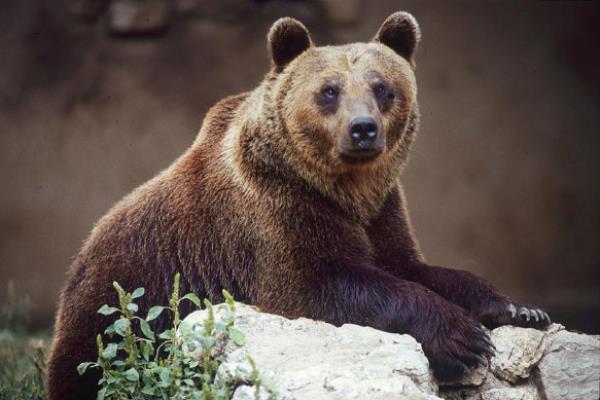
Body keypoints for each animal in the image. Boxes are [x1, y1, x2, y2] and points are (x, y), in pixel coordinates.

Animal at [49, 12, 552, 400]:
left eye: (382, 87)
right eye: (329, 90)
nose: (363, 128)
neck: (345, 189)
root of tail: (76, 266)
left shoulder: (382, 211)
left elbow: (414, 266)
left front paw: (518, 309)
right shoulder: (275, 212)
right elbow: (322, 285)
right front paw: (463, 336)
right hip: (119, 305)